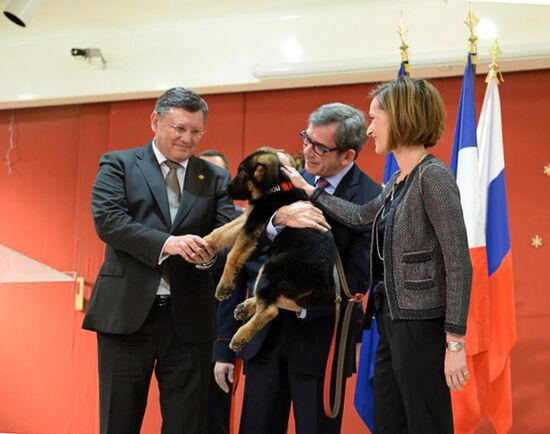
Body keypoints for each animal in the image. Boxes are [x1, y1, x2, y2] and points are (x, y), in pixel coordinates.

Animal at [205, 151, 336, 350]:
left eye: (241, 173)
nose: (226, 189)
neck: (275, 188)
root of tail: (323, 284)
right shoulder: (248, 218)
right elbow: (220, 232)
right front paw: (201, 243)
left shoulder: (253, 225)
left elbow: (233, 255)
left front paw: (224, 285)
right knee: (271, 299)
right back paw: (247, 308)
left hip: (271, 268)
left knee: (270, 310)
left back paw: (241, 336)